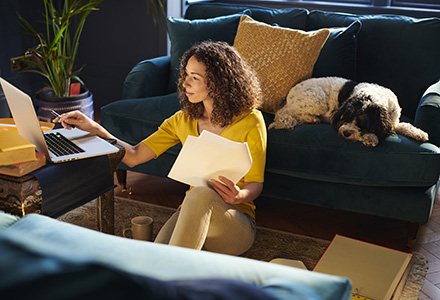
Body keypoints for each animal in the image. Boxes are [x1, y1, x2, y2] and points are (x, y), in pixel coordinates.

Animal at [270, 77, 428, 147]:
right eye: (346, 117)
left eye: (363, 122)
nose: (345, 133)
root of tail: (288, 98)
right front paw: (370, 137)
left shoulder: (393, 121)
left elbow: (405, 125)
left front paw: (419, 133)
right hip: (317, 101)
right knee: (296, 113)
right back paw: (312, 119)